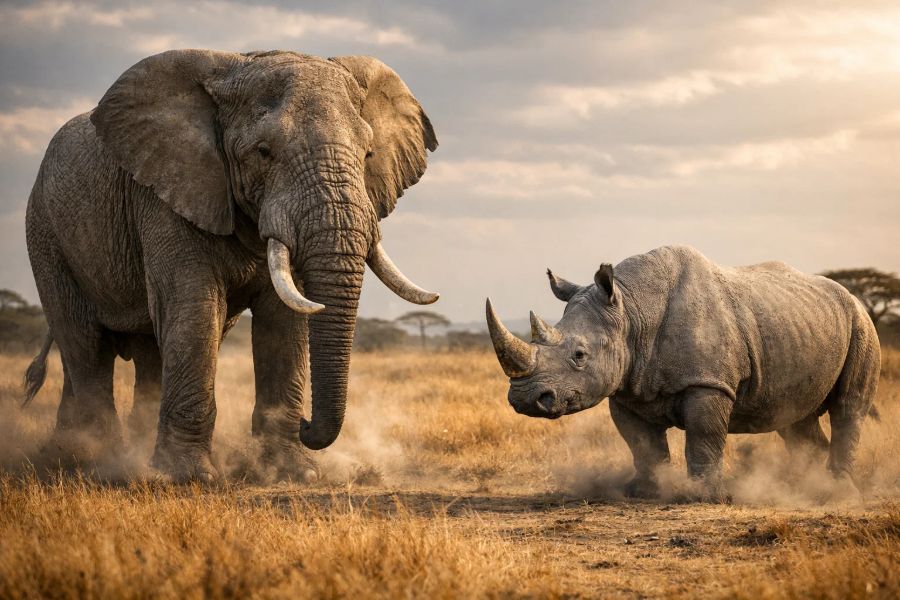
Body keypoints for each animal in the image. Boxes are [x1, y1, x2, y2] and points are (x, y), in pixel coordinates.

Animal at [22, 49, 439, 481]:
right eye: (263, 151)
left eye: (368, 154)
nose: (307, 424)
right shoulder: (166, 193)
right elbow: (195, 309)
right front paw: (190, 477)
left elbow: (283, 320)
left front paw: (293, 472)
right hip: (46, 234)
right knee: (85, 344)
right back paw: (98, 461)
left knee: (144, 352)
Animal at [486, 245, 881, 500]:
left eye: (579, 355)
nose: (524, 399)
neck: (631, 310)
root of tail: (853, 298)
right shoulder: (626, 389)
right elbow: (642, 443)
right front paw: (645, 491)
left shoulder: (709, 383)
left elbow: (704, 435)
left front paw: (705, 497)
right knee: (794, 418)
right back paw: (804, 487)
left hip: (861, 324)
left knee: (849, 408)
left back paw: (838, 492)